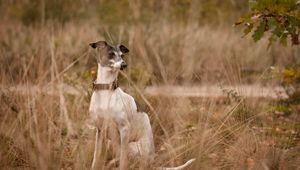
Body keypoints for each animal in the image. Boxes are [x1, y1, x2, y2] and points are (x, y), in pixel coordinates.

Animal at [88, 40, 195, 169]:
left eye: (122, 55)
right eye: (111, 54)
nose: (124, 65)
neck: (106, 90)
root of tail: (152, 162)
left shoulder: (124, 129)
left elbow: (123, 161)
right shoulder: (100, 131)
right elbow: (95, 158)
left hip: (132, 146)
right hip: (110, 143)